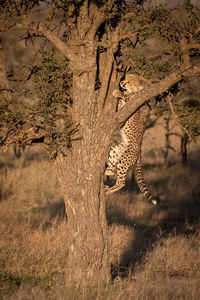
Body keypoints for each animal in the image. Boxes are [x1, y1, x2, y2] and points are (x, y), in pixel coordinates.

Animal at [104, 73, 158, 205]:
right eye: (124, 78)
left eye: (128, 82)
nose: (122, 83)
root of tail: (140, 151)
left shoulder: (131, 104)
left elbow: (126, 97)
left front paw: (117, 92)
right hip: (115, 149)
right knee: (114, 166)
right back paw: (108, 171)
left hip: (124, 159)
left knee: (122, 182)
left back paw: (108, 190)